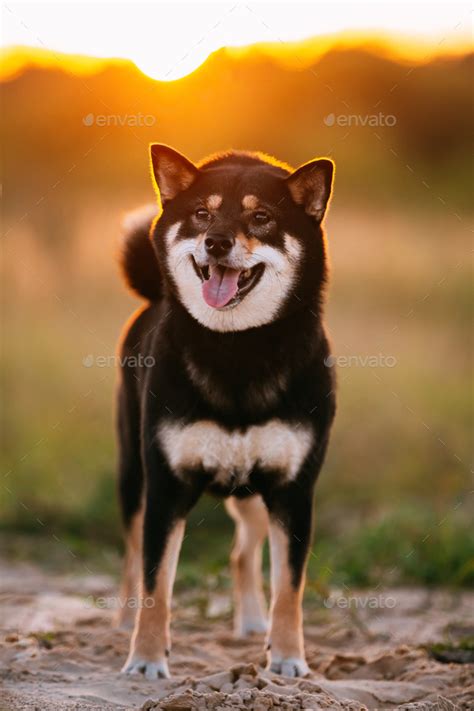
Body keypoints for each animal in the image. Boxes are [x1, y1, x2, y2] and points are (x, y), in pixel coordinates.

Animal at [116, 143, 336, 680]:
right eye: (202, 214)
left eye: (261, 217)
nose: (216, 242)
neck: (237, 349)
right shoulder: (166, 485)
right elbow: (156, 583)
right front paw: (146, 659)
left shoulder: (293, 489)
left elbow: (289, 588)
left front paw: (288, 658)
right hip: (133, 472)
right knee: (131, 557)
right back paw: (122, 623)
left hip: (253, 493)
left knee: (242, 554)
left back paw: (253, 624)